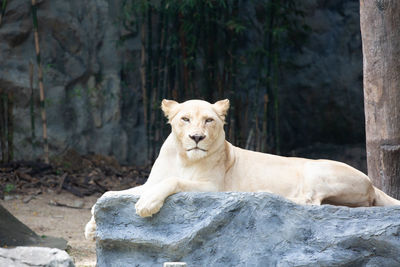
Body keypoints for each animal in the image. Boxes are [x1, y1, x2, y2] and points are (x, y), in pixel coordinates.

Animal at [84, 99, 400, 241]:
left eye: (209, 120)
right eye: (185, 119)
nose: (196, 137)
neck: (185, 159)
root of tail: (373, 183)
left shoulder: (213, 189)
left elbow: (172, 183)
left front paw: (146, 205)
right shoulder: (152, 179)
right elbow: (115, 191)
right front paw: (92, 224)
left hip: (316, 170)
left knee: (313, 203)